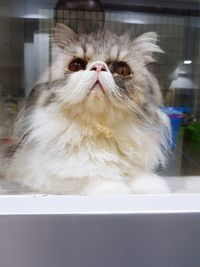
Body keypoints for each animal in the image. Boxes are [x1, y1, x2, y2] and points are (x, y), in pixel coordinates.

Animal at [5, 24, 171, 196]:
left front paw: (152, 188)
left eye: (122, 70)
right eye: (76, 65)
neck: (99, 131)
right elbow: (92, 176)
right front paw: (115, 189)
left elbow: (141, 177)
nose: (98, 67)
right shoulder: (41, 175)